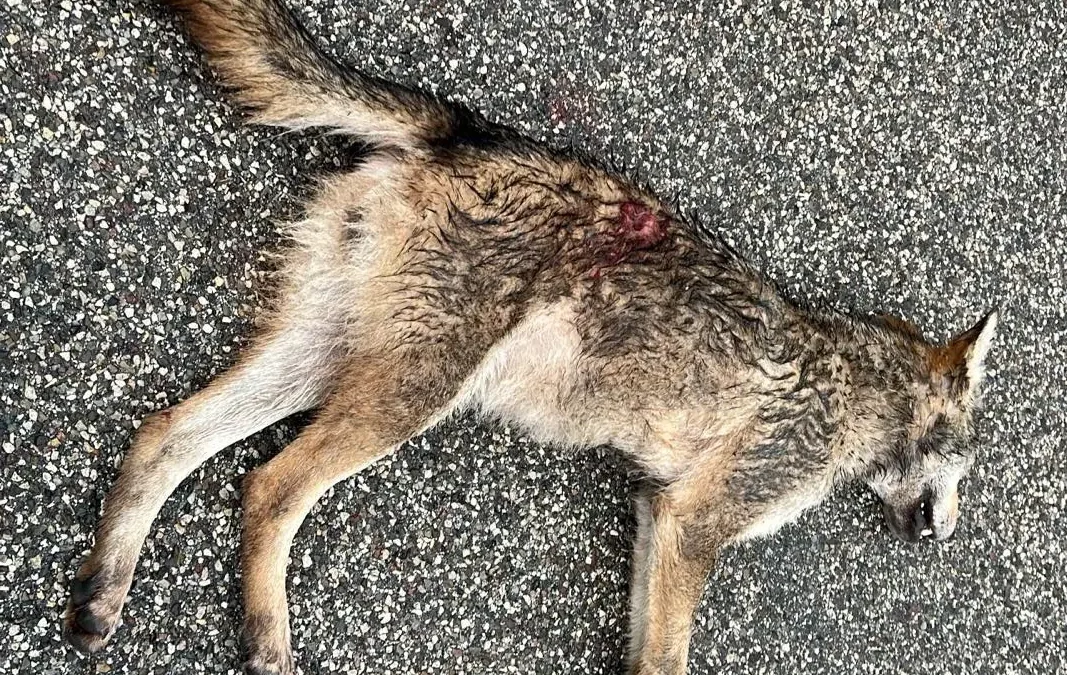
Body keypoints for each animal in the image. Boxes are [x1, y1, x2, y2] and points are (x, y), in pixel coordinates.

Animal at [64, 1, 999, 673]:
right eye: (965, 471)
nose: (947, 537)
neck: (858, 390)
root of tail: (462, 127)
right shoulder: (693, 523)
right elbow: (667, 658)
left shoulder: (656, 510)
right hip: (410, 394)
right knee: (267, 485)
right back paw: (266, 642)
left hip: (325, 363)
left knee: (164, 434)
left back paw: (102, 596)